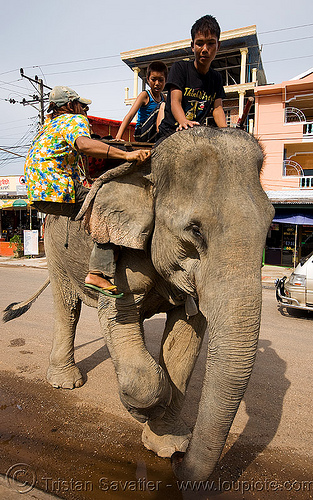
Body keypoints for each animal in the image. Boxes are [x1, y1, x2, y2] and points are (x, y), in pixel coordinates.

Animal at [2, 126, 272, 480]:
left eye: (270, 226)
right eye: (195, 230)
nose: (178, 469)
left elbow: (186, 336)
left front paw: (168, 444)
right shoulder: (120, 260)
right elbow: (120, 318)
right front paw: (142, 410)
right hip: (56, 248)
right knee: (67, 307)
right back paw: (66, 383)